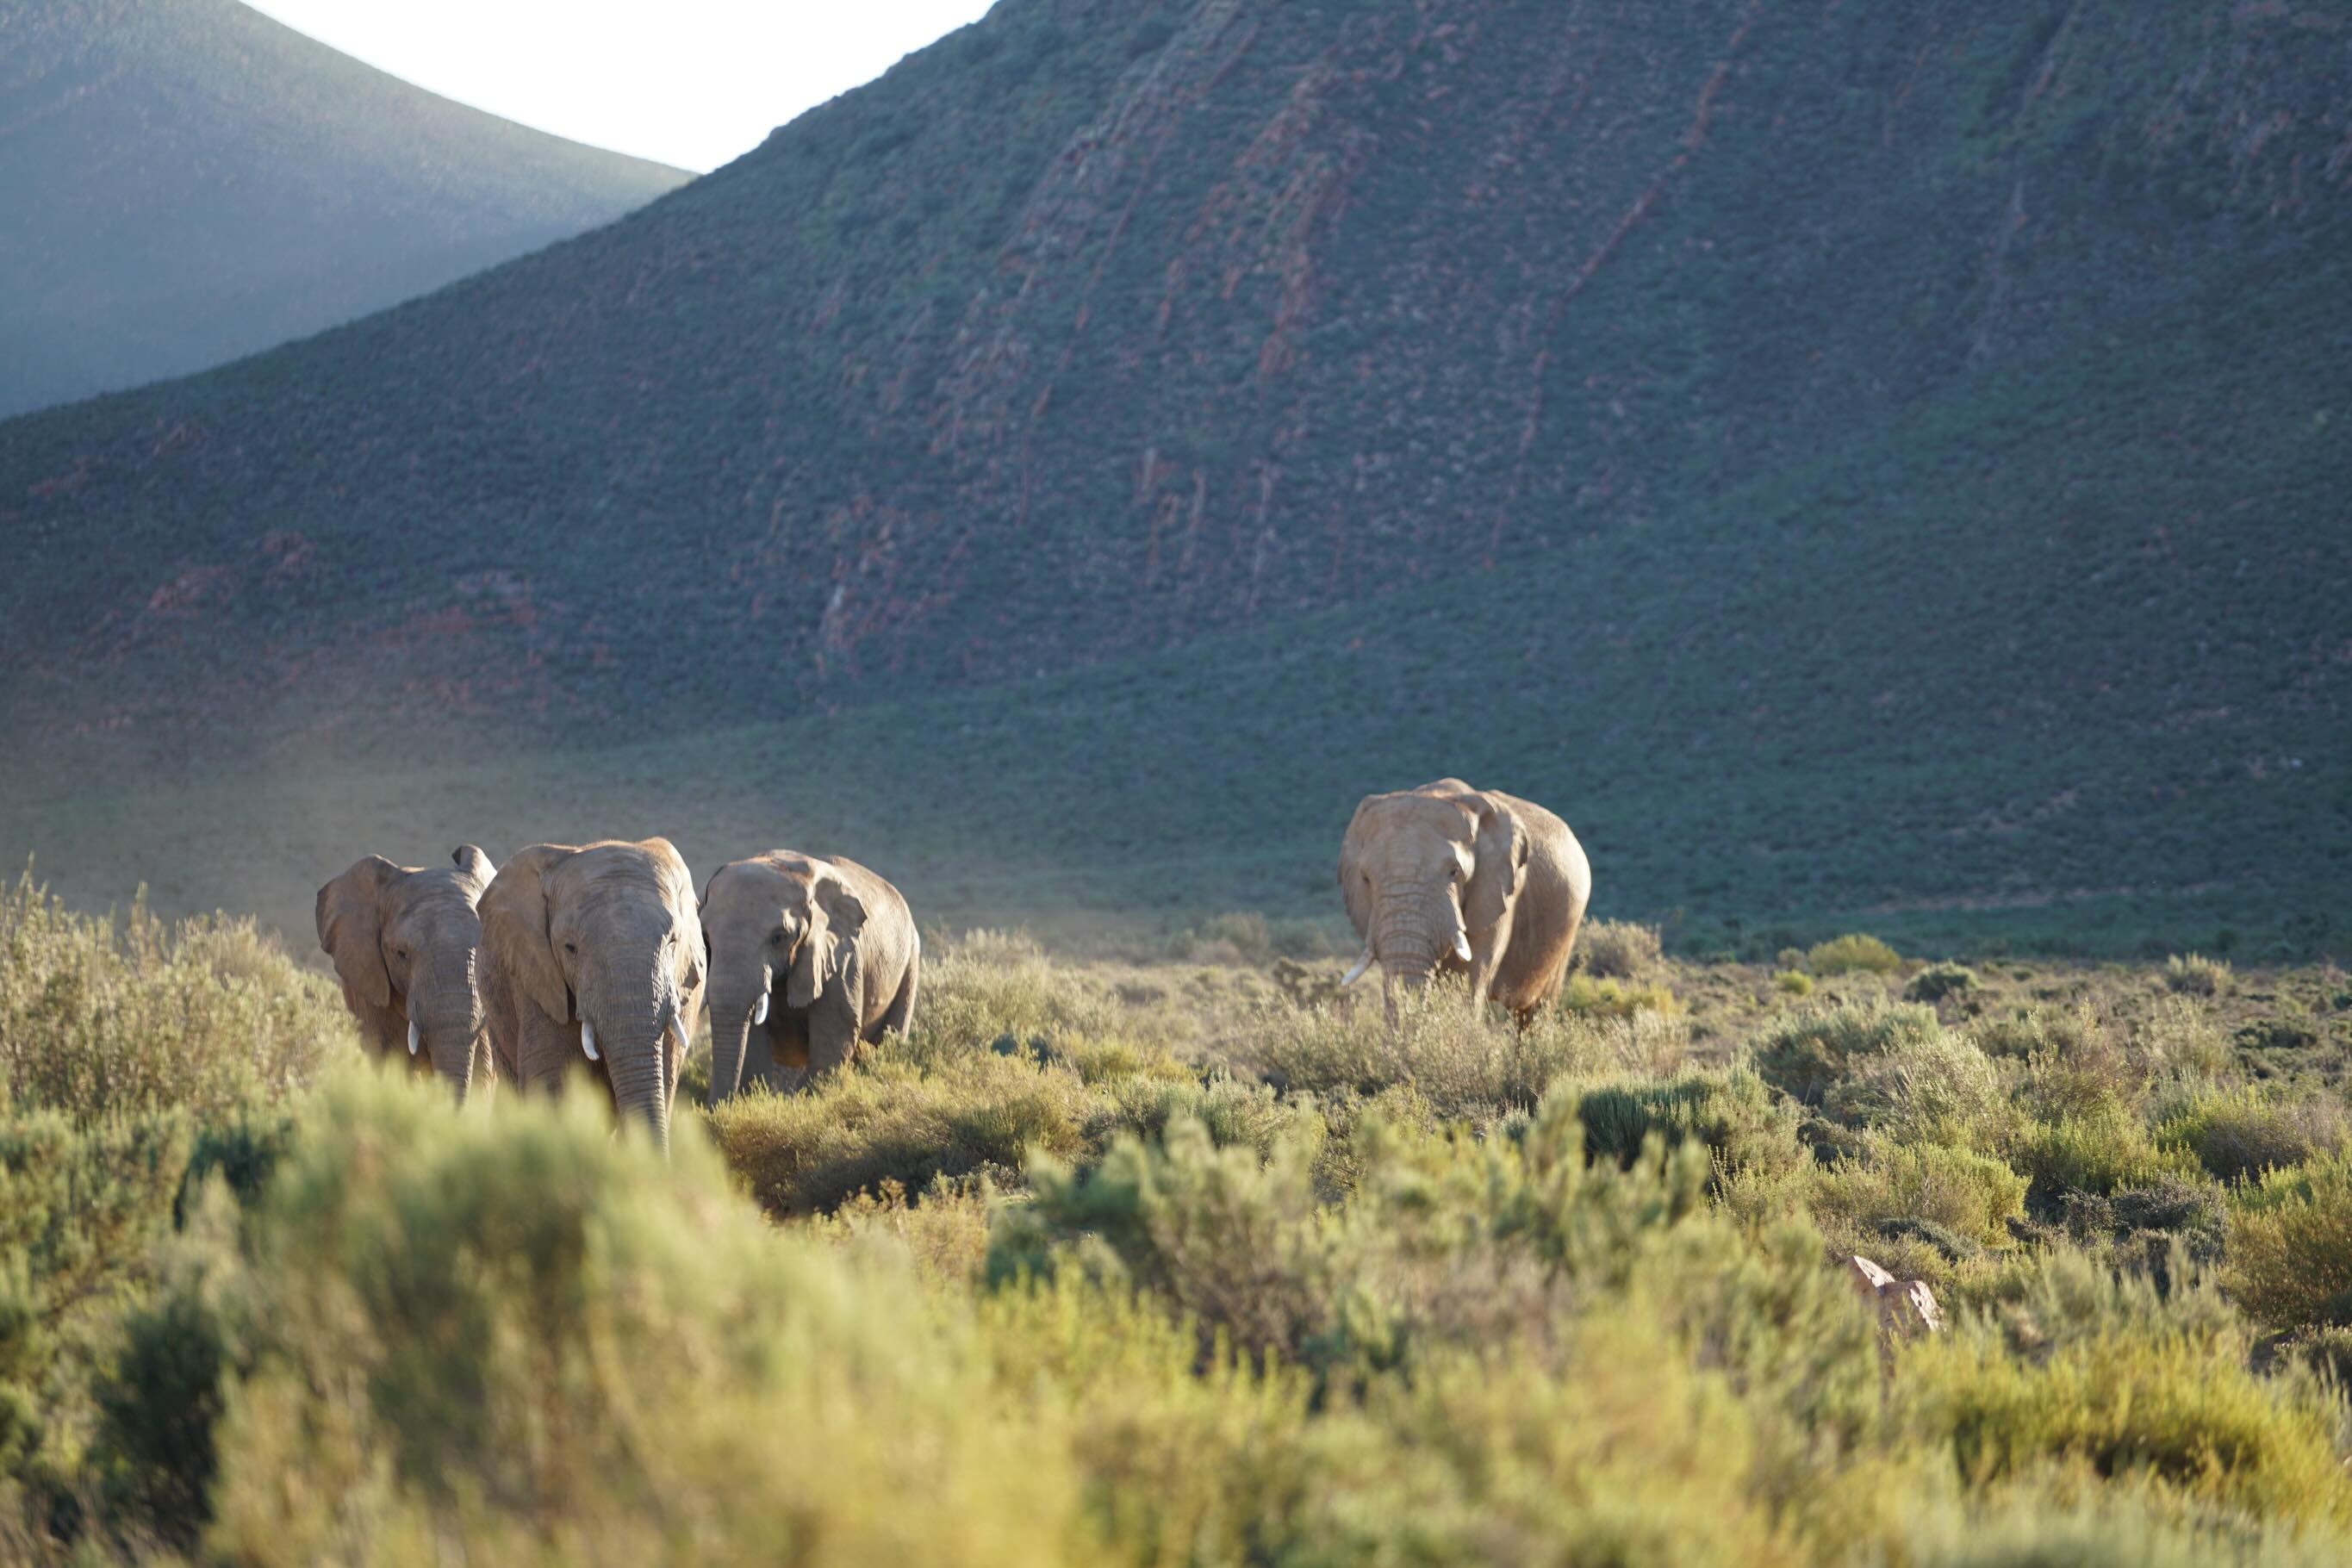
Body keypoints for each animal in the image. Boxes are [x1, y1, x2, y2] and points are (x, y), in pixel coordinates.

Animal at [700, 851, 919, 1105]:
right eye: (705, 935)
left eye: (779, 937)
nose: (715, 1108)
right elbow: (753, 1040)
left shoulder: (842, 962)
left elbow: (834, 1035)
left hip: (910, 963)